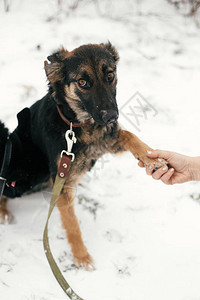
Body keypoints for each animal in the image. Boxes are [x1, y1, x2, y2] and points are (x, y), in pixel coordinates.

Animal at [0, 43, 166, 270]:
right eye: (82, 82)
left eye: (110, 75)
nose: (111, 117)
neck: (79, 125)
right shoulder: (61, 178)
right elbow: (72, 224)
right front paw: (81, 256)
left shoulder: (109, 139)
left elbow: (130, 136)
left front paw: (152, 158)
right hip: (28, 173)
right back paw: (3, 212)